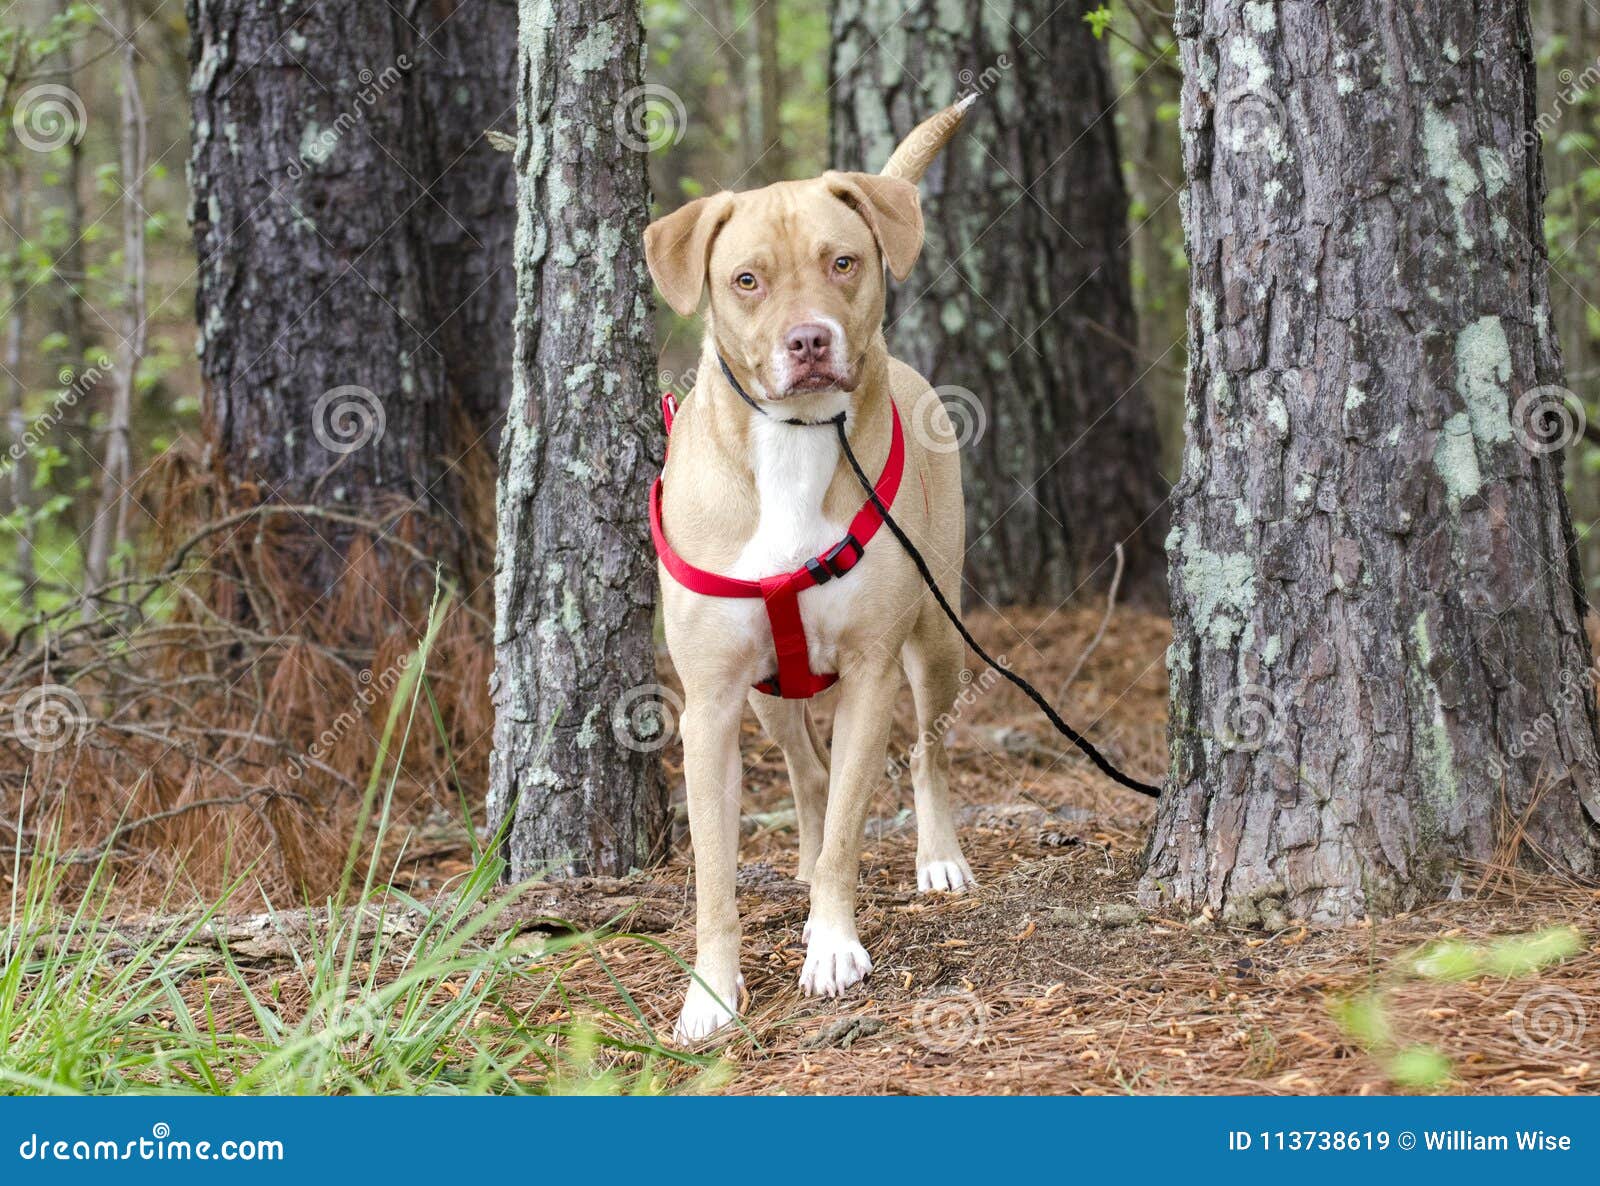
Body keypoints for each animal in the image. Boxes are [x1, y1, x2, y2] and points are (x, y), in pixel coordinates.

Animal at [646, 106, 979, 1043]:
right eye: (747, 280)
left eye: (844, 262)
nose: (809, 340)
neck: (792, 441)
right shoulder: (711, 704)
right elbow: (715, 874)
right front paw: (711, 993)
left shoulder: (871, 671)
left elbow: (848, 836)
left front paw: (831, 947)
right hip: (763, 695)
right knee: (807, 771)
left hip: (938, 640)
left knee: (924, 754)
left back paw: (938, 858)